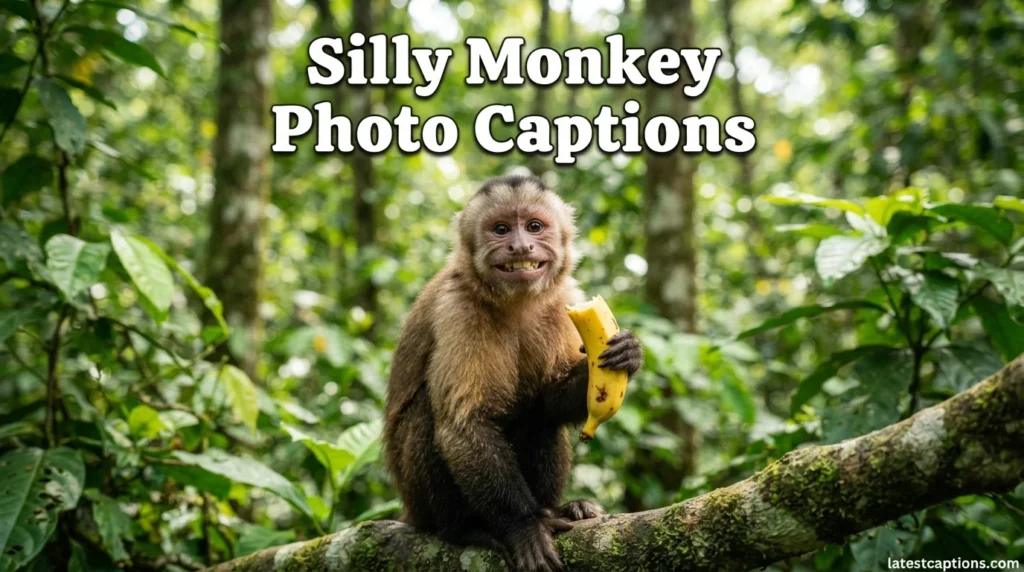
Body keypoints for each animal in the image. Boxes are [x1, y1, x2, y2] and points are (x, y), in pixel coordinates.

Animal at [383, 175, 643, 570]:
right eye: (501, 229)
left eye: (534, 226)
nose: (520, 247)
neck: (516, 301)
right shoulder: (458, 309)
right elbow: (465, 424)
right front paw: (523, 527)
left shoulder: (565, 297)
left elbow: (552, 400)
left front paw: (628, 354)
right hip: (417, 503)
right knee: (431, 411)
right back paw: (463, 530)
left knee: (539, 417)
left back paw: (560, 508)